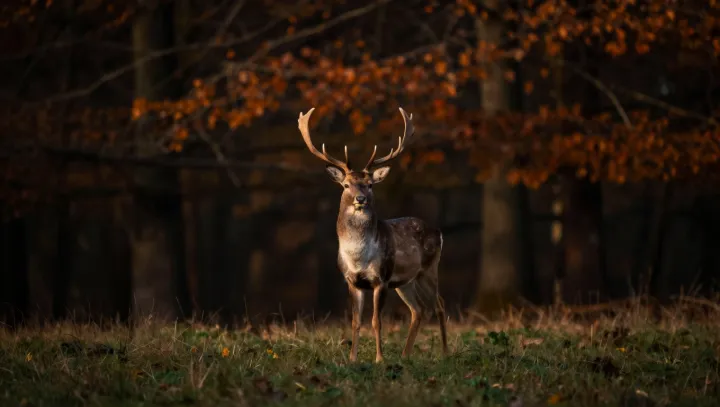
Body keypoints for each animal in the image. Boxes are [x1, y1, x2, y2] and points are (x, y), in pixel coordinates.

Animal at [297, 107, 448, 363]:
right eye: (346, 185)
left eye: (370, 184)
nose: (361, 198)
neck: (358, 256)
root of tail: (437, 232)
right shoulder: (352, 281)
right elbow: (356, 322)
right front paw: (352, 358)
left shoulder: (381, 278)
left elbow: (376, 321)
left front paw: (379, 359)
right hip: (404, 281)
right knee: (418, 310)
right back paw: (405, 355)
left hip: (428, 268)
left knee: (439, 304)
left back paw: (446, 353)